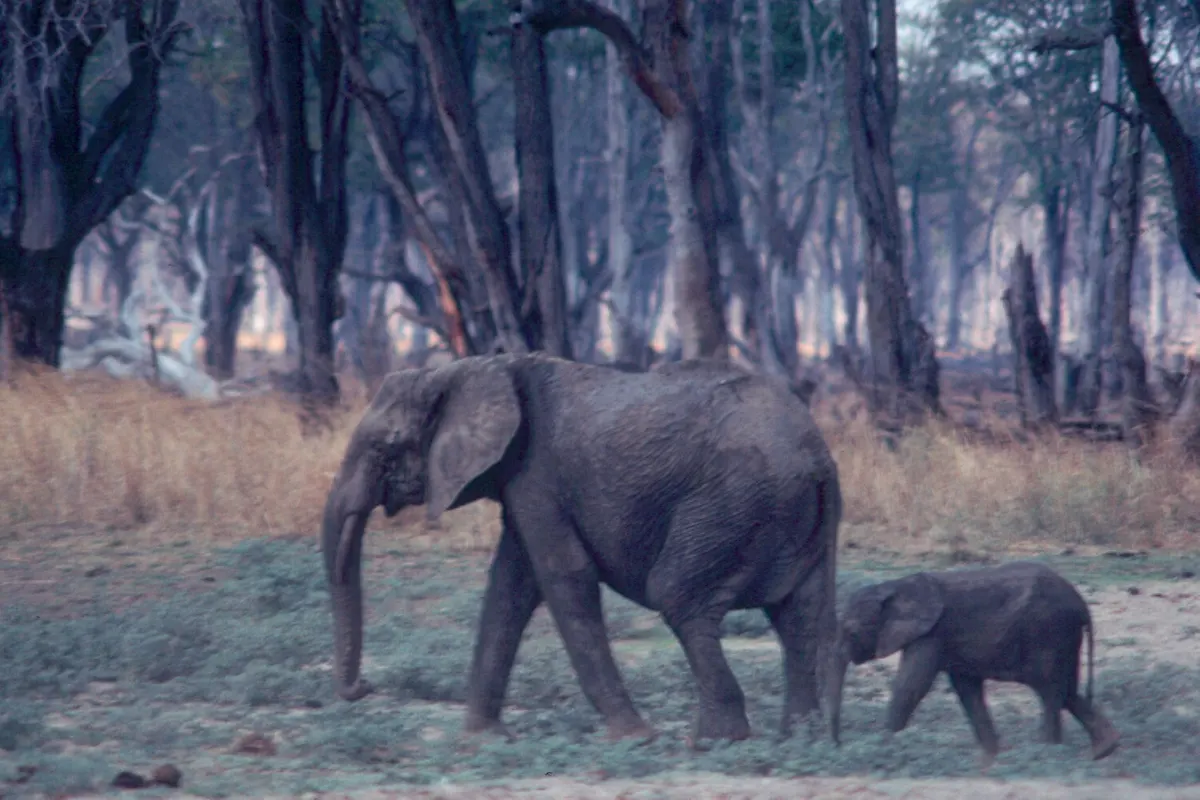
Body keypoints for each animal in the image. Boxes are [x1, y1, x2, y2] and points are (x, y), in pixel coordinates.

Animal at [321, 352, 843, 743]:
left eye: (384, 448)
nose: (363, 685)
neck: (471, 368)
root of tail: (817, 457)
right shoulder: (522, 479)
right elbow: (511, 586)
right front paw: (481, 740)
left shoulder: (537, 473)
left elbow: (563, 577)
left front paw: (633, 738)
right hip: (792, 518)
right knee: (800, 614)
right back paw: (800, 737)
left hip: (733, 504)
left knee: (679, 597)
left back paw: (716, 740)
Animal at [826, 561, 1121, 764]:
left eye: (851, 632)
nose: (838, 745)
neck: (894, 586)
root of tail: (1082, 604)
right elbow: (967, 691)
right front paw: (991, 757)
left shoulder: (931, 634)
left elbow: (911, 686)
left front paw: (884, 743)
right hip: (1064, 637)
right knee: (1067, 690)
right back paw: (1103, 751)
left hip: (1049, 631)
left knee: (1049, 689)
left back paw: (1047, 752)